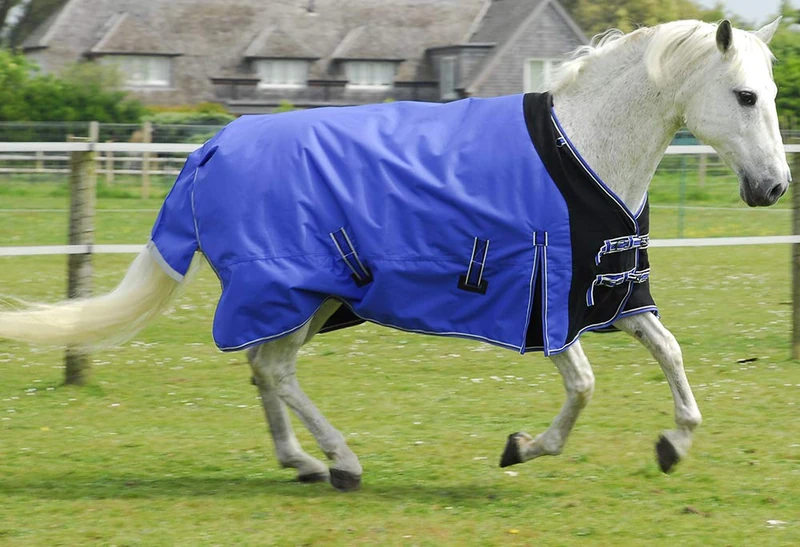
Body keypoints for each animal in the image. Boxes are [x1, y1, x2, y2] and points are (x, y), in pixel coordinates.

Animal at [0, 18, 789, 492]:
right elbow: (585, 386)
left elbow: (670, 352)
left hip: (309, 300)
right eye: (745, 96)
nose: (774, 187)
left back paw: (301, 462)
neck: (583, 148)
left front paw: (674, 443)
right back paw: (341, 462)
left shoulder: (609, 293)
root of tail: (213, 147)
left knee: (263, 367)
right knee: (274, 369)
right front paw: (522, 446)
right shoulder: (547, 302)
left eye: (773, 92)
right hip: (298, 293)